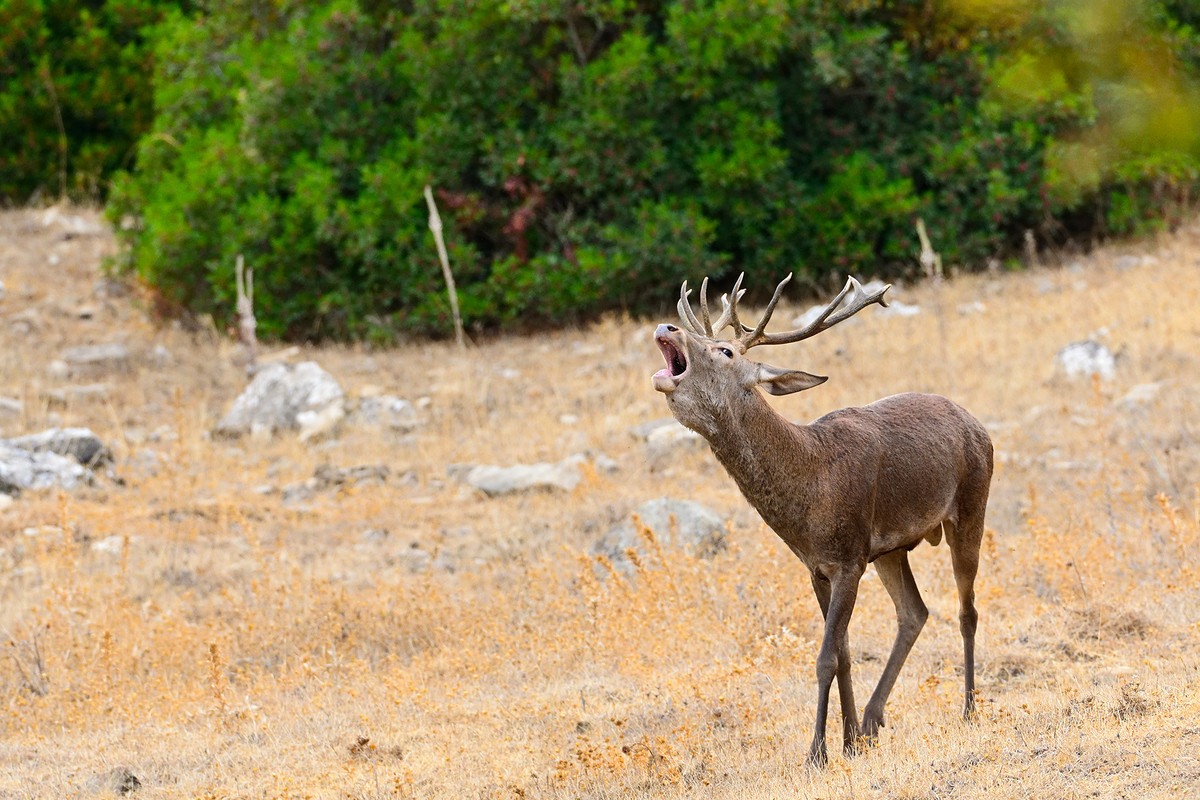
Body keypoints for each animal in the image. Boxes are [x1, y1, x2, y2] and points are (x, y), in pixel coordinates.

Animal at [657, 273, 993, 767]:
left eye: (726, 352)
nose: (668, 327)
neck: (809, 494)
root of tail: (978, 425)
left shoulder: (849, 556)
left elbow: (826, 658)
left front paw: (817, 752)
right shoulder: (817, 567)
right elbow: (845, 652)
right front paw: (850, 741)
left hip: (971, 505)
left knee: (966, 609)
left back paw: (968, 709)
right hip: (891, 550)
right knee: (914, 611)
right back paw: (872, 720)